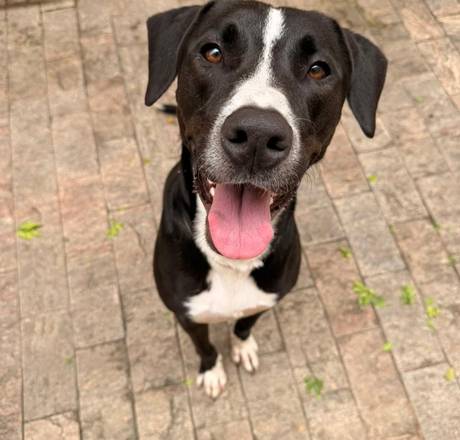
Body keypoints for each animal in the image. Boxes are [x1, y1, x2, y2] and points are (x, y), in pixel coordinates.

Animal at [145, 0, 387, 398]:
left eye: (318, 70)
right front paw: (212, 370)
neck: (231, 263)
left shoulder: (266, 299)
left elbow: (244, 325)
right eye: (213, 52)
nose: (257, 134)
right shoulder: (186, 312)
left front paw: (243, 346)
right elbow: (204, 345)